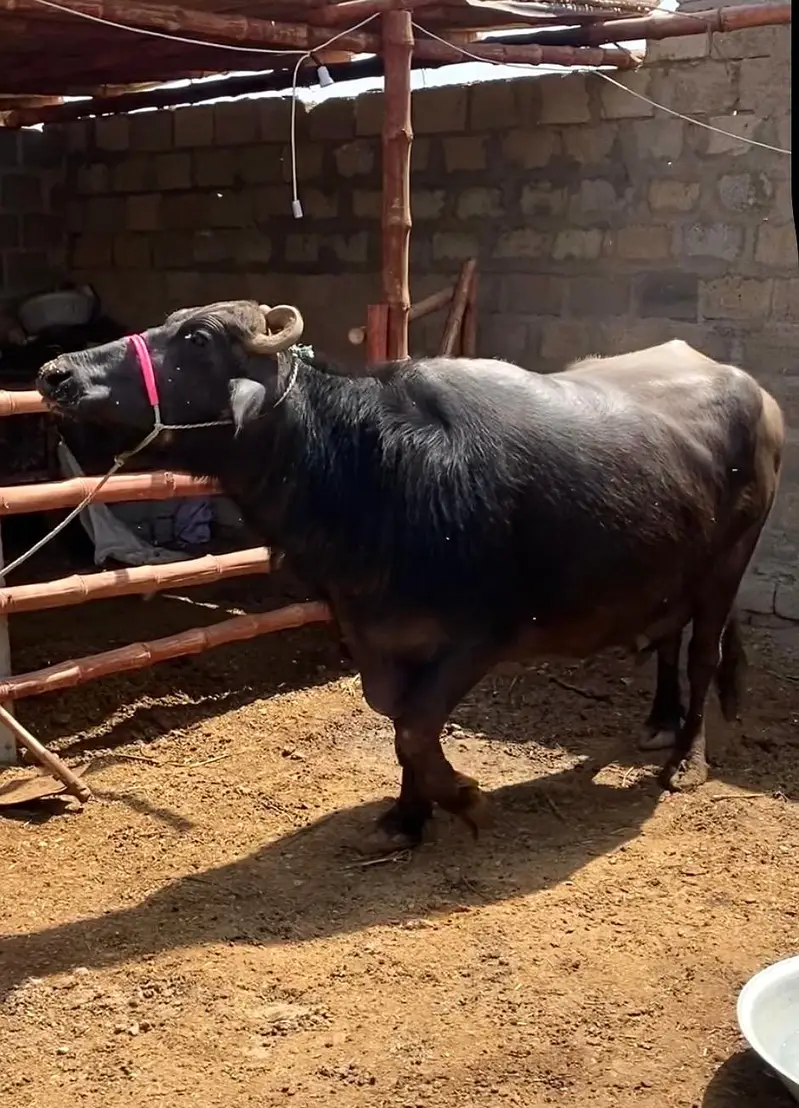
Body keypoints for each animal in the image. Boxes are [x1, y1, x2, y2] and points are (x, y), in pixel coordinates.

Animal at [36, 300, 785, 851]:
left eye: (195, 337)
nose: (57, 373)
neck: (383, 472)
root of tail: (758, 397)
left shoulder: (477, 639)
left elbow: (416, 729)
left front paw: (463, 799)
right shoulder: (376, 638)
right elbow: (398, 722)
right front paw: (406, 817)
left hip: (727, 564)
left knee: (703, 653)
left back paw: (685, 760)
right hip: (669, 564)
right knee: (667, 638)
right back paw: (657, 723)